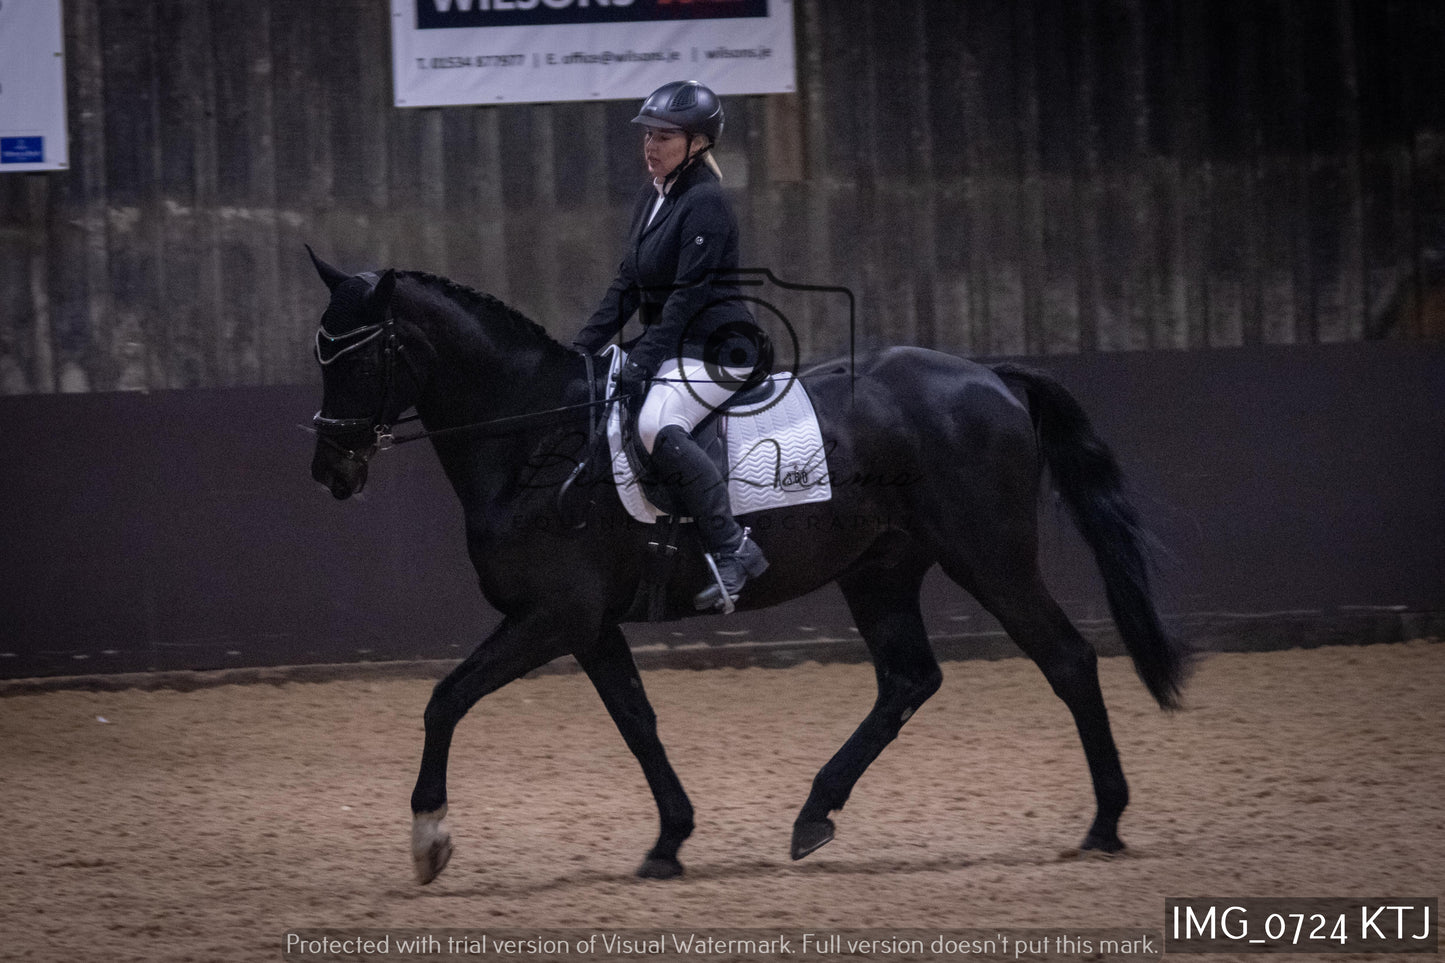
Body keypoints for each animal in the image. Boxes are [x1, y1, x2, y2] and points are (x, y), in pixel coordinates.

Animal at [302, 251, 1184, 879]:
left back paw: (1103, 824)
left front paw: (428, 837)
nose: (330, 472)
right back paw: (813, 813)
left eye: (355, 358)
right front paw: (669, 840)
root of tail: (990, 376)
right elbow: (636, 720)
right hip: (880, 569)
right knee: (908, 678)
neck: (532, 437)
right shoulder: (586, 624)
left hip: (989, 557)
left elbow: (445, 699)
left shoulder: (551, 616)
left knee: (1066, 658)